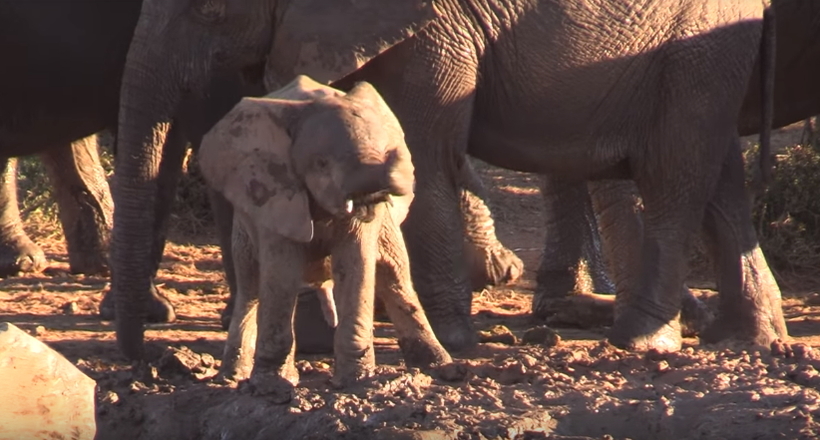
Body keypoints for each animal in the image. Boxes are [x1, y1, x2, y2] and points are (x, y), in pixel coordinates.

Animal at [112, 0, 784, 360]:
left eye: (208, 8)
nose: (154, 359)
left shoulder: (430, 29)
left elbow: (426, 155)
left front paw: (453, 339)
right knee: (719, 177)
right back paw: (748, 340)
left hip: (695, 42)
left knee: (676, 172)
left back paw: (643, 342)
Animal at [200, 76, 454, 402]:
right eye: (321, 164)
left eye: (385, 150)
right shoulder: (274, 193)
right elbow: (281, 273)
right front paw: (272, 389)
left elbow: (355, 262)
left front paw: (356, 383)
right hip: (244, 220)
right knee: (251, 288)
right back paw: (232, 378)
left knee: (395, 276)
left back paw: (445, 370)